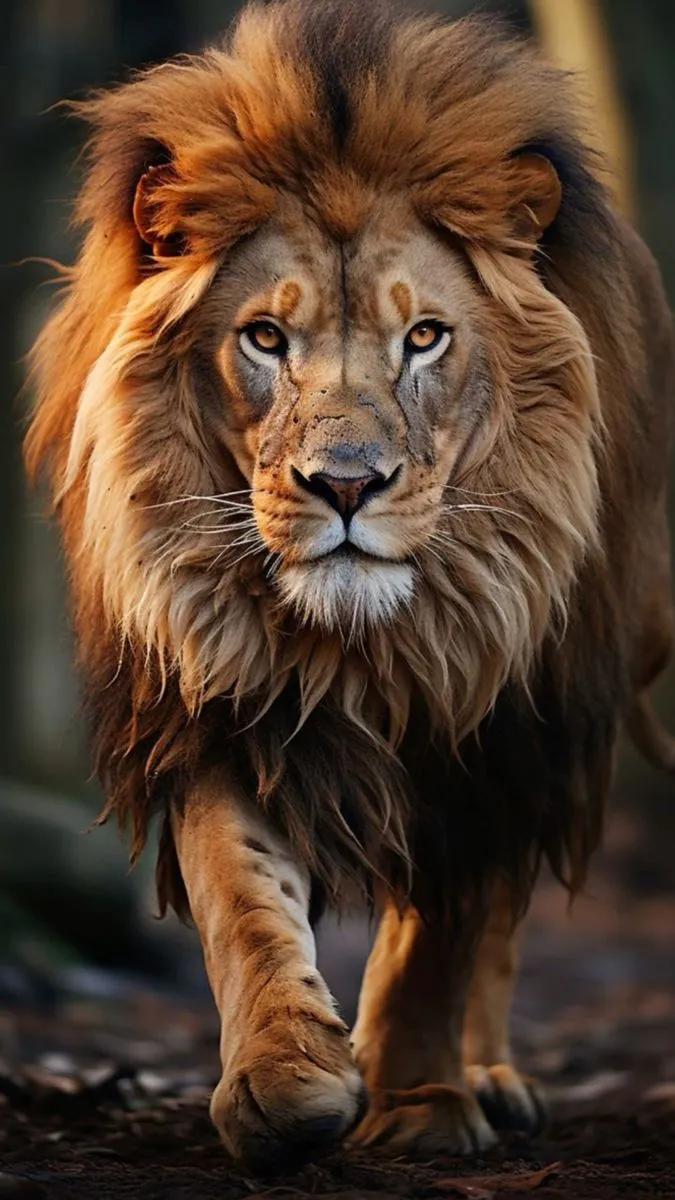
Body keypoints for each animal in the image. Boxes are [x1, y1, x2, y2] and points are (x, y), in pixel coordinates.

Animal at [26, 0, 675, 1170]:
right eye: (264, 337)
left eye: (423, 337)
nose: (344, 485)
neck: (361, 644)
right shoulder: (210, 694)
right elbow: (242, 895)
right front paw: (287, 1080)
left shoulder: (494, 715)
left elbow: (444, 933)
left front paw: (416, 1103)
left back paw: (489, 1078)